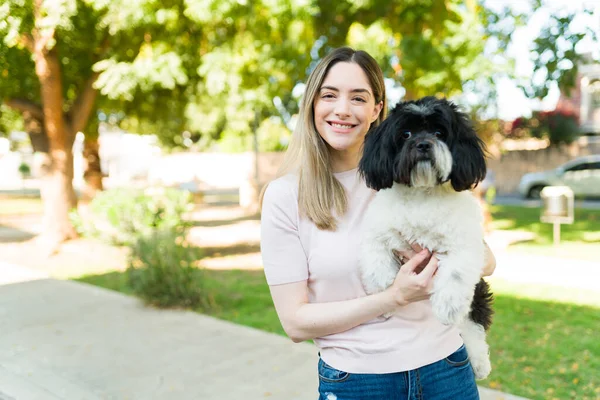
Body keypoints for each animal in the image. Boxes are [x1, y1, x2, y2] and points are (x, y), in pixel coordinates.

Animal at [358, 95, 494, 380]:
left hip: (478, 293)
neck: (423, 193)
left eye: (439, 133)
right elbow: (377, 266)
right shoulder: (376, 231)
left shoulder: (466, 244)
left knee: (473, 324)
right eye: (405, 134)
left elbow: (455, 276)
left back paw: (478, 362)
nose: (422, 144)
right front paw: (386, 297)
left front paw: (447, 306)